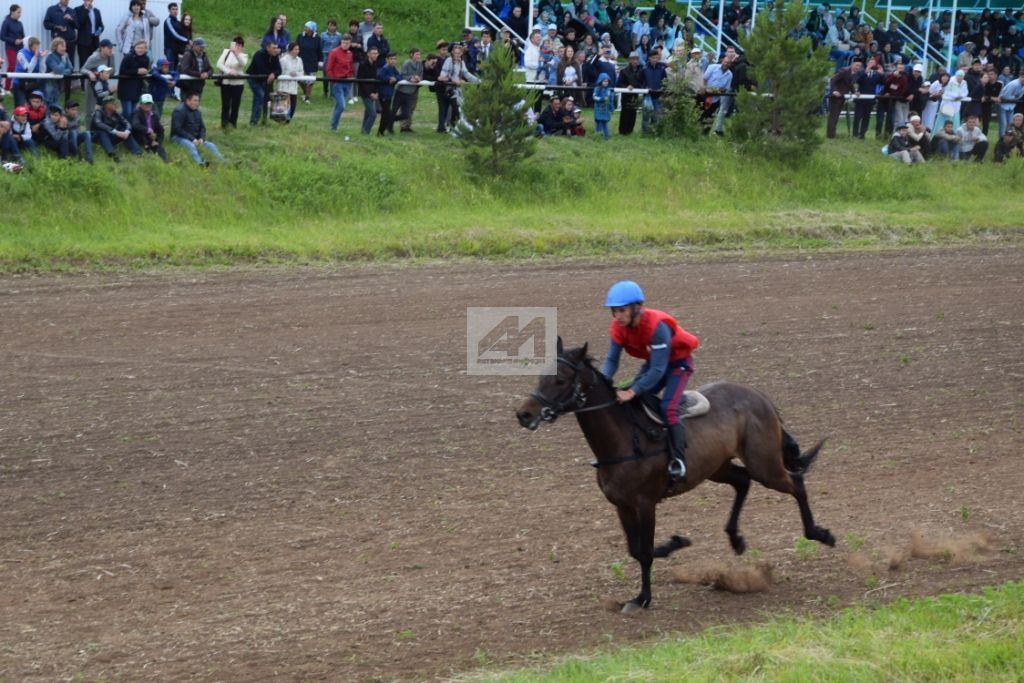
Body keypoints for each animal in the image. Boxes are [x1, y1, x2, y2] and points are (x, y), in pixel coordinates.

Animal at [516, 339, 835, 614]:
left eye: (560, 380)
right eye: (540, 376)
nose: (524, 414)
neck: (623, 439)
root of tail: (758, 395)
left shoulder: (645, 503)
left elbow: (644, 552)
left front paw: (642, 598)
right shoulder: (622, 506)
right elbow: (636, 549)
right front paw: (675, 543)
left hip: (764, 464)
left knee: (795, 483)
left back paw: (820, 534)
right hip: (716, 467)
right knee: (743, 481)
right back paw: (735, 538)